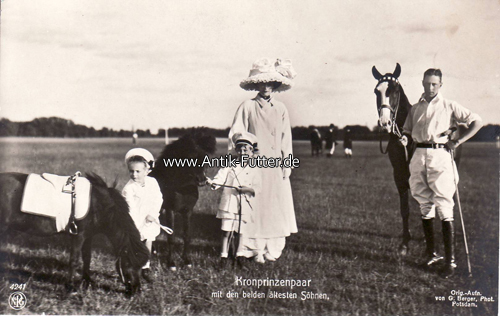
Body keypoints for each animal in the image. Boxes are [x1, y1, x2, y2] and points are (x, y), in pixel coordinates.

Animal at [0, 172, 150, 296]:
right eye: (129, 264)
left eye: (141, 266)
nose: (137, 290)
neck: (98, 204)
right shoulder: (78, 236)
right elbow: (74, 260)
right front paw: (70, 287)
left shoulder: (88, 236)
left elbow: (87, 258)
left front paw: (88, 281)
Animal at [150, 130, 217, 270]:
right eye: (189, 157)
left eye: (205, 156)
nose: (201, 181)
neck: (182, 187)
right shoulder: (170, 210)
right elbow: (171, 236)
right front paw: (171, 263)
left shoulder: (188, 211)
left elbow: (187, 236)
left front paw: (186, 261)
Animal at [372, 63, 464, 254]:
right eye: (377, 91)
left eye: (395, 90)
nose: (384, 123)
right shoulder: (399, 175)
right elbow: (405, 208)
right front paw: (404, 243)